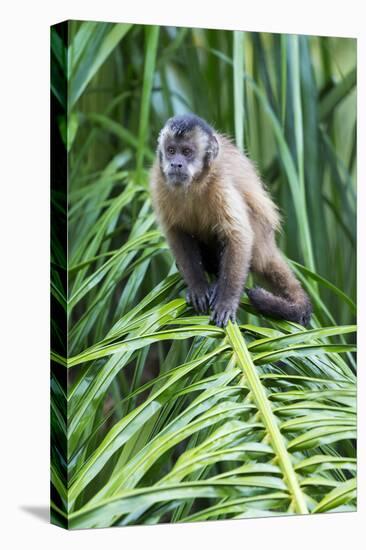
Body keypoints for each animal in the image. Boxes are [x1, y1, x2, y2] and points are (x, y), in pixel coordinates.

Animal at [149, 112, 312, 328]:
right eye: (171, 150)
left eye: (187, 152)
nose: (176, 163)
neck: (194, 184)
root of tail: (267, 247)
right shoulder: (159, 183)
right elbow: (177, 233)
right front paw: (198, 287)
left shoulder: (221, 184)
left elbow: (238, 236)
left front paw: (226, 301)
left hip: (258, 245)